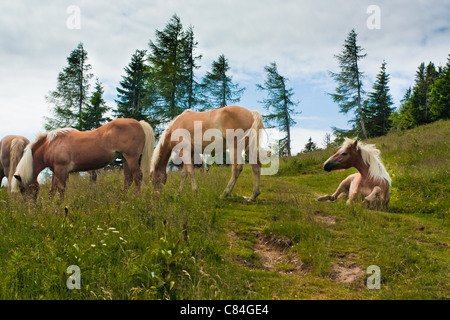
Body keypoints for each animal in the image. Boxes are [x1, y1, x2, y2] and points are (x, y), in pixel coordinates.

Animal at [12, 117, 155, 198]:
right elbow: (52, 190)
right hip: (125, 159)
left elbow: (61, 190)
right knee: (128, 179)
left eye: (22, 189)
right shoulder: (56, 171)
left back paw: (135, 199)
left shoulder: (61, 169)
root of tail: (139, 123)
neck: (51, 145)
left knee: (137, 177)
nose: (30, 208)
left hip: (131, 157)